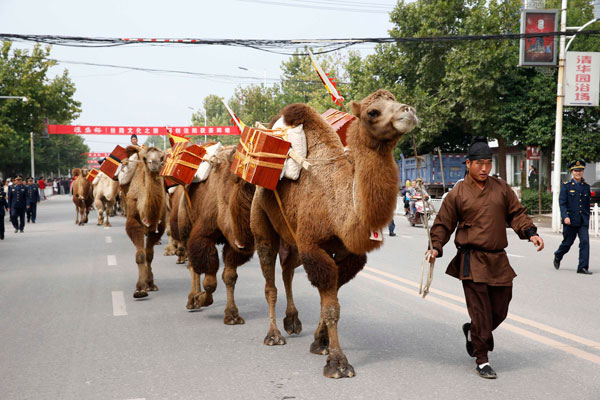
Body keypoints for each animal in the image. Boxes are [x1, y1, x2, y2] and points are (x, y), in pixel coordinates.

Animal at [123, 145, 166, 298]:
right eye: (146, 158)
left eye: (162, 157)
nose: (154, 163)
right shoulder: (133, 222)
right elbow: (140, 255)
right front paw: (140, 289)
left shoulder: (159, 226)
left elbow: (149, 255)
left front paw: (150, 284)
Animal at [250, 90, 418, 378]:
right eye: (372, 112)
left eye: (396, 99)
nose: (408, 110)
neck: (339, 207)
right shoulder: (313, 246)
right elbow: (331, 307)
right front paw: (338, 362)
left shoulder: (349, 254)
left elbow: (330, 299)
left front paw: (321, 342)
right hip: (262, 221)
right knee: (270, 278)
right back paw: (273, 335)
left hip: (293, 239)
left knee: (287, 269)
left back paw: (292, 321)